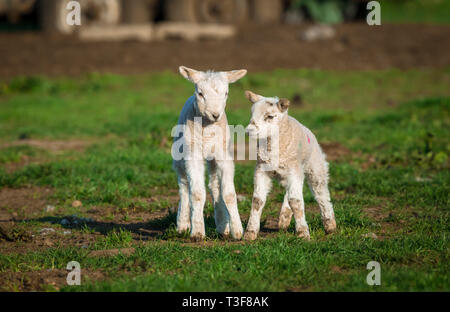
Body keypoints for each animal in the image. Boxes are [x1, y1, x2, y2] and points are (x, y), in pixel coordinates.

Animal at [171, 66, 246, 241]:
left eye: (226, 93)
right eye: (200, 93)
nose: (215, 114)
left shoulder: (224, 156)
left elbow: (229, 194)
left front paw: (237, 230)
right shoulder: (193, 156)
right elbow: (197, 193)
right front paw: (197, 232)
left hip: (213, 159)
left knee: (214, 186)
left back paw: (222, 226)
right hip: (179, 157)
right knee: (184, 187)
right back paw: (182, 224)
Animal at [244, 90, 336, 241]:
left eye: (270, 116)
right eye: (252, 113)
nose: (249, 130)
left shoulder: (294, 170)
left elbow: (296, 201)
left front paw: (303, 233)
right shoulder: (261, 170)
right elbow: (257, 201)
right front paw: (250, 233)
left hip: (314, 167)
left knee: (321, 193)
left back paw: (330, 225)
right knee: (290, 193)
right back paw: (284, 219)